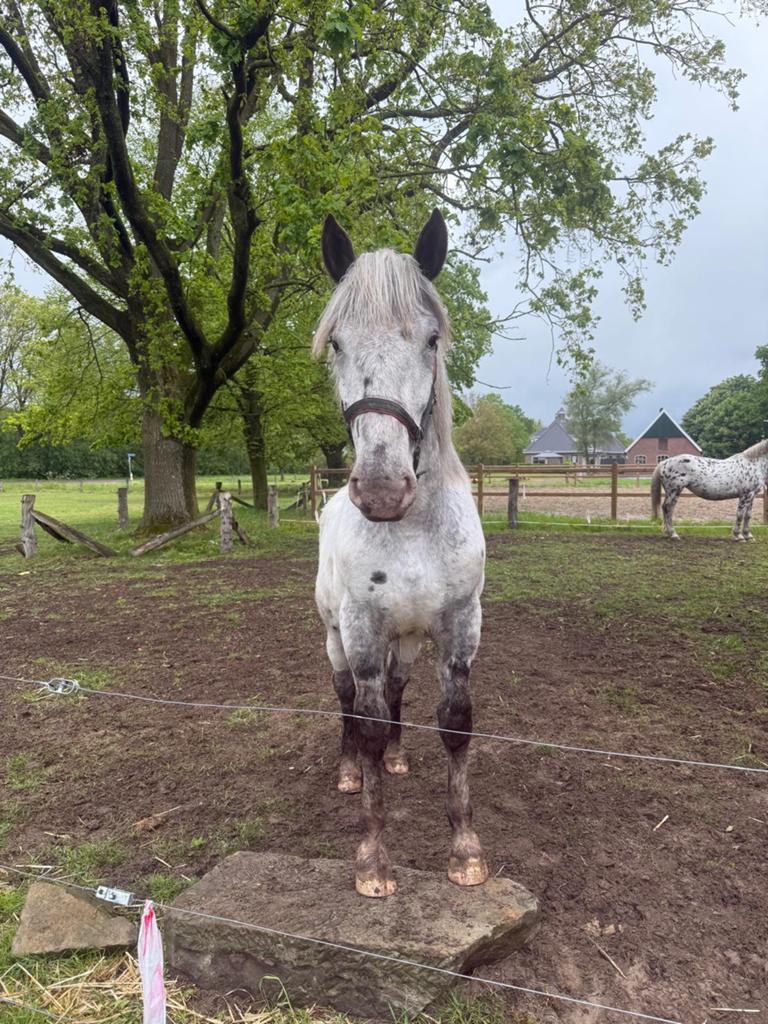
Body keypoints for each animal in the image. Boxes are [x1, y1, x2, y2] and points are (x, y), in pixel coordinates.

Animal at [312, 210, 488, 898]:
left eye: (432, 340)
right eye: (336, 343)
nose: (383, 489)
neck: (411, 530)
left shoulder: (459, 625)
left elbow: (454, 721)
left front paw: (465, 851)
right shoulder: (362, 629)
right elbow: (362, 720)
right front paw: (373, 859)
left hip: (409, 640)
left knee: (394, 694)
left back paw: (396, 756)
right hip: (335, 635)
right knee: (348, 700)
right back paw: (349, 772)